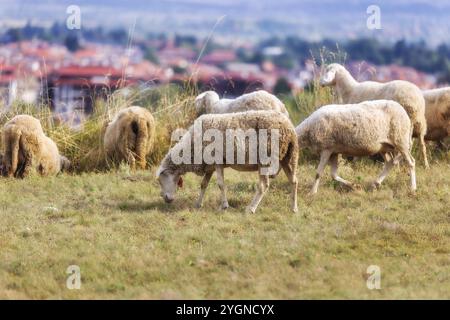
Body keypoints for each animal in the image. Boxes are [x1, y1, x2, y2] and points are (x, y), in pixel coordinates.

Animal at [156, 109, 298, 212]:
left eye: (162, 179)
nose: (166, 199)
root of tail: (288, 126)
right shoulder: (210, 166)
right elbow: (203, 184)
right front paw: (198, 204)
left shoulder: (217, 161)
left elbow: (220, 184)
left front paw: (224, 206)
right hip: (289, 157)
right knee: (294, 181)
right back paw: (294, 208)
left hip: (266, 159)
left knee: (263, 186)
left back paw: (251, 208)